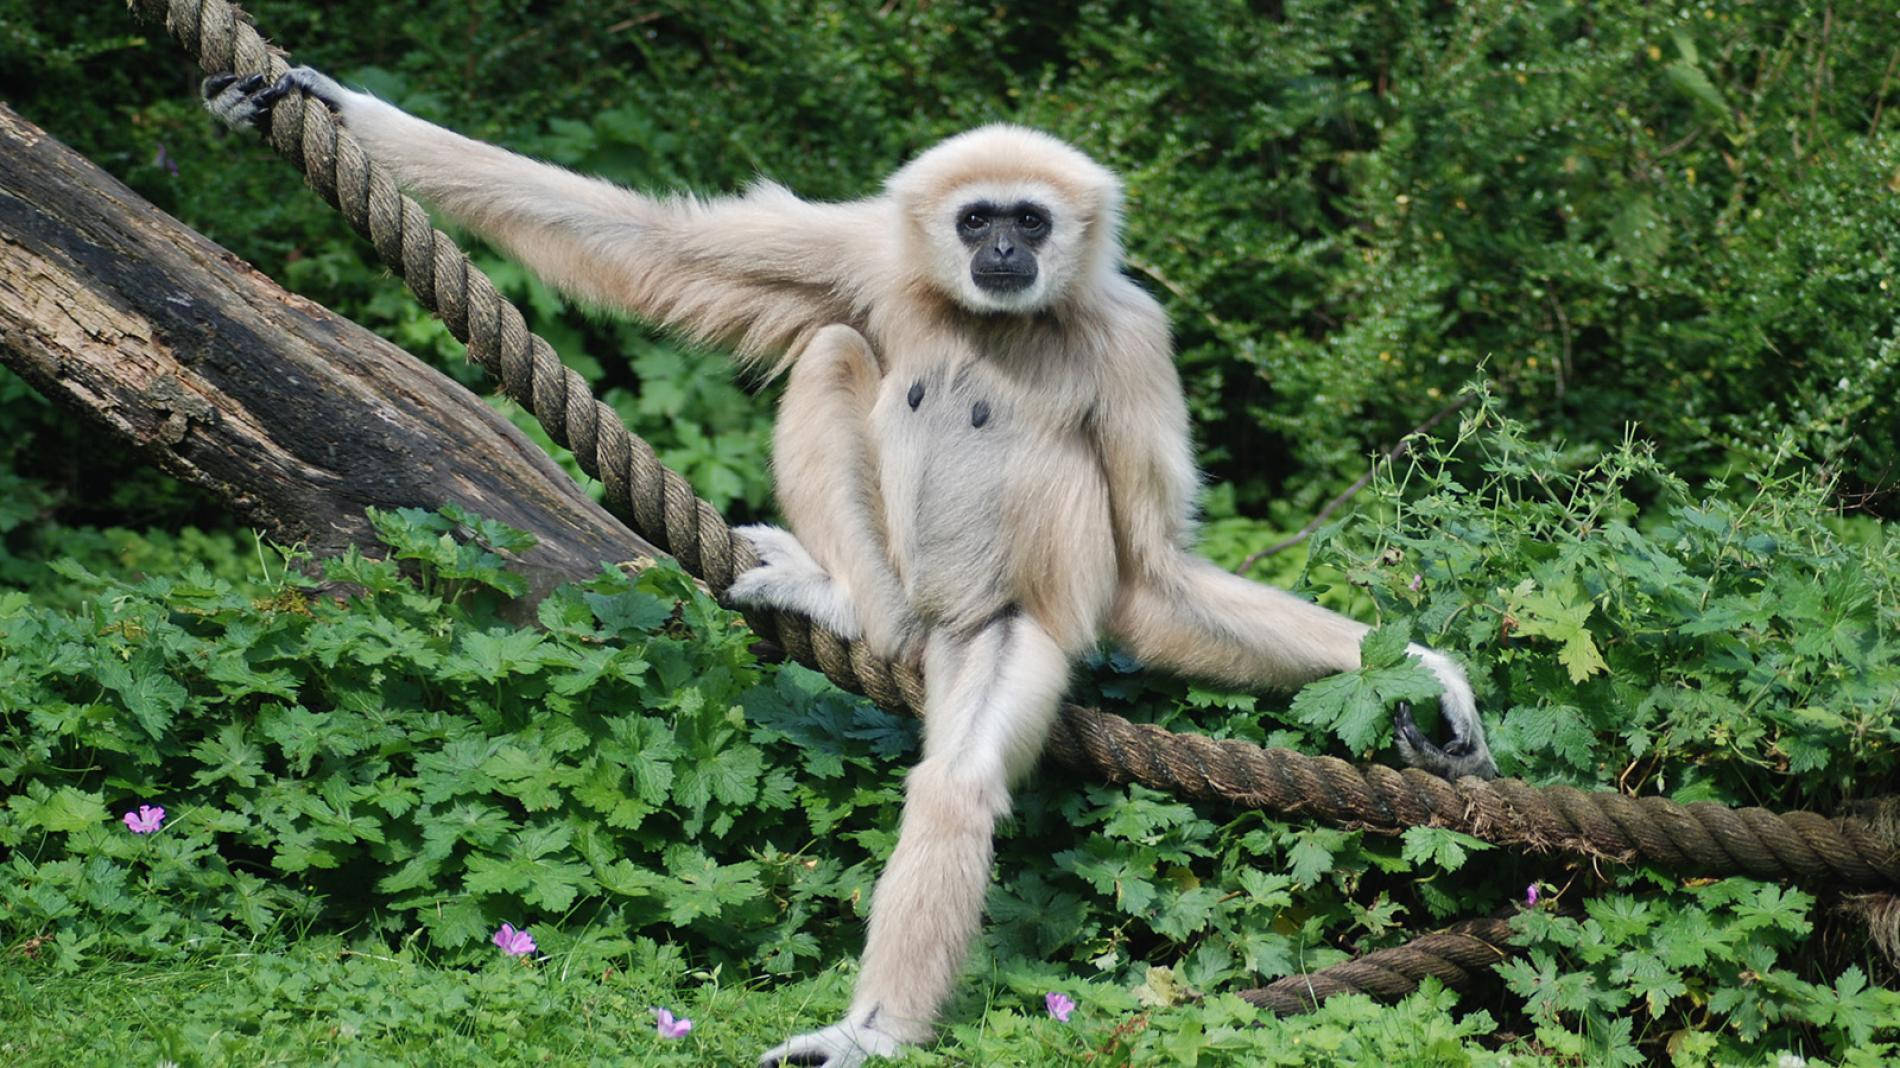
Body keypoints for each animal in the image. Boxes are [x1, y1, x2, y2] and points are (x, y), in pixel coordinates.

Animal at [205, 69, 1497, 1067]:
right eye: (977, 222)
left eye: (1030, 221)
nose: (1006, 250)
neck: (996, 320)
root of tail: (928, 624)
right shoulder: (874, 256)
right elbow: (656, 252)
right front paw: (334, 105)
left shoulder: (1133, 336)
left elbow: (1151, 576)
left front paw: (1423, 673)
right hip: (901, 568)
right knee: (831, 348)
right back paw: (849, 605)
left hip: (1005, 629)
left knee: (960, 776)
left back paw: (872, 1023)